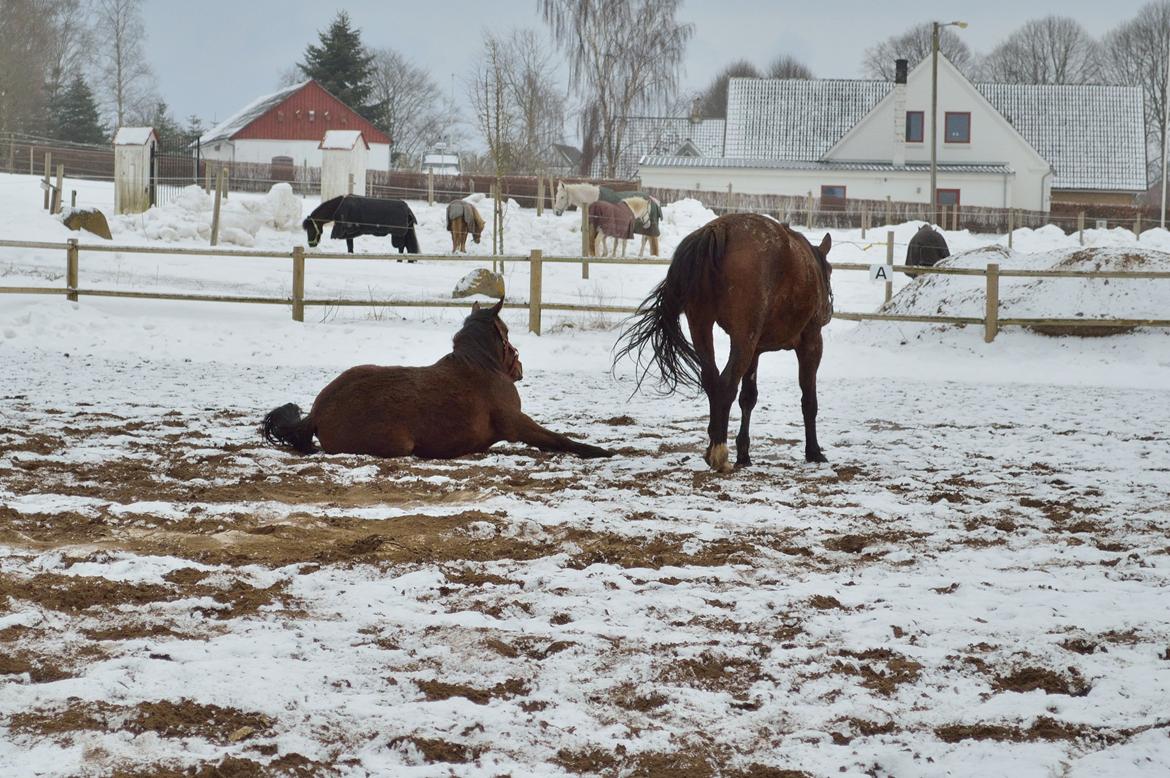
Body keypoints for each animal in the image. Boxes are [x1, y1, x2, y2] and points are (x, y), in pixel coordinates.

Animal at [263, 295, 613, 456]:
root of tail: (317, 413)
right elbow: (560, 439)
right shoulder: (517, 425)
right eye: (506, 333)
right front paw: (601, 450)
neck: (482, 367)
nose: (519, 366)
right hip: (398, 446)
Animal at [617, 210, 837, 472]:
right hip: (743, 339)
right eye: (830, 271)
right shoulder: (811, 342)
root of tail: (719, 230)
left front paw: (744, 453)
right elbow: (808, 399)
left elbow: (748, 398)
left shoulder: (756, 351)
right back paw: (719, 452)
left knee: (712, 380)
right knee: (726, 383)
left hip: (702, 326)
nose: (828, 309)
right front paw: (813, 451)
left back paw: (713, 444)